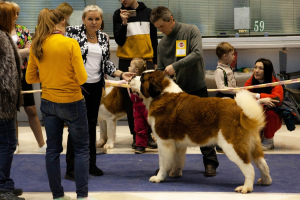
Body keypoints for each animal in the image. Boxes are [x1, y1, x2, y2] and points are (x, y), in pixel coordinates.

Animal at [129, 70, 272, 194]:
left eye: (142, 79)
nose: (131, 77)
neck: (161, 94)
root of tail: (240, 110)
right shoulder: (178, 144)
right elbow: (177, 160)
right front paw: (175, 173)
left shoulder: (164, 142)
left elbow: (164, 162)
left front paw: (159, 177)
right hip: (254, 145)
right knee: (262, 163)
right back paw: (265, 180)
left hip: (232, 145)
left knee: (249, 167)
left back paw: (246, 187)